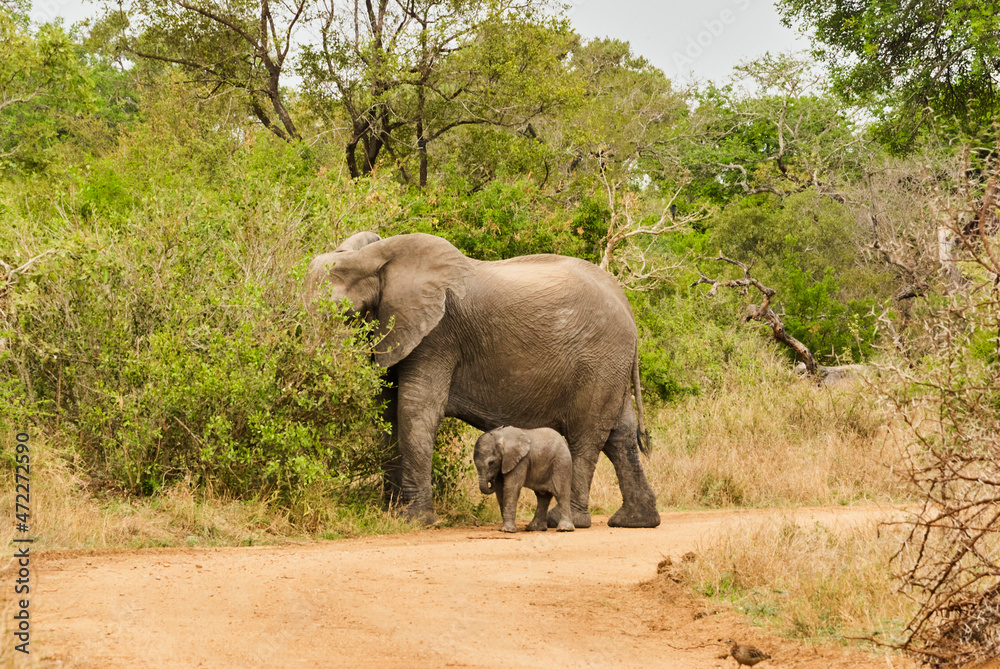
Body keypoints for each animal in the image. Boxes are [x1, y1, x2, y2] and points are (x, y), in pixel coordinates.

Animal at [305, 231, 660, 529]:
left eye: (339, 312)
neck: (372, 257)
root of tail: (627, 305)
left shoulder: (438, 335)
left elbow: (416, 410)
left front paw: (416, 521)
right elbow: (388, 413)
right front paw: (391, 515)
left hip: (598, 363)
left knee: (585, 436)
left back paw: (568, 521)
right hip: (609, 366)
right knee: (620, 434)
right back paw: (635, 522)